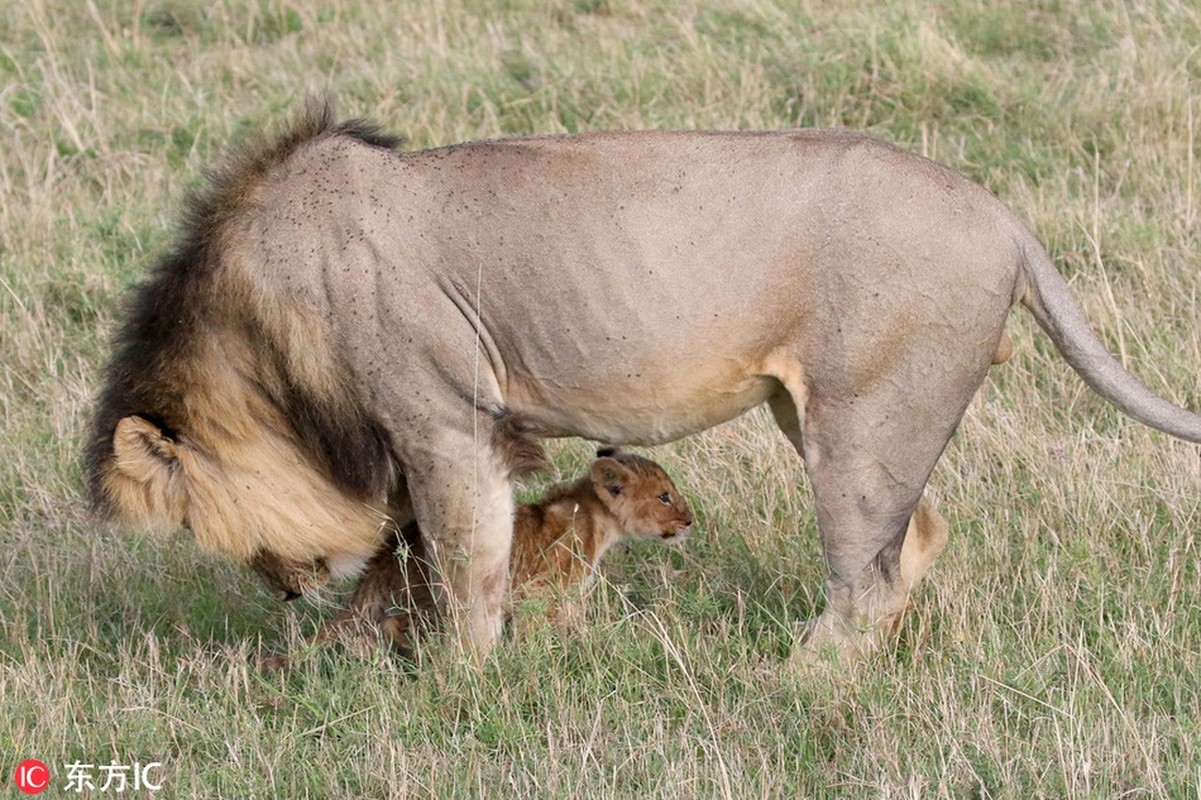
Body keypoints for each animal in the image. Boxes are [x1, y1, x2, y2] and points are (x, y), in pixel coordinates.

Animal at [88, 99, 1201, 658]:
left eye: (203, 525)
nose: (282, 590)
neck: (268, 335)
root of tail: (998, 213)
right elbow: (416, 564)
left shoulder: (443, 422)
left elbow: (465, 564)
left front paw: (458, 684)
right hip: (834, 411)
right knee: (916, 536)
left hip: (861, 420)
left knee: (871, 573)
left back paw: (794, 686)